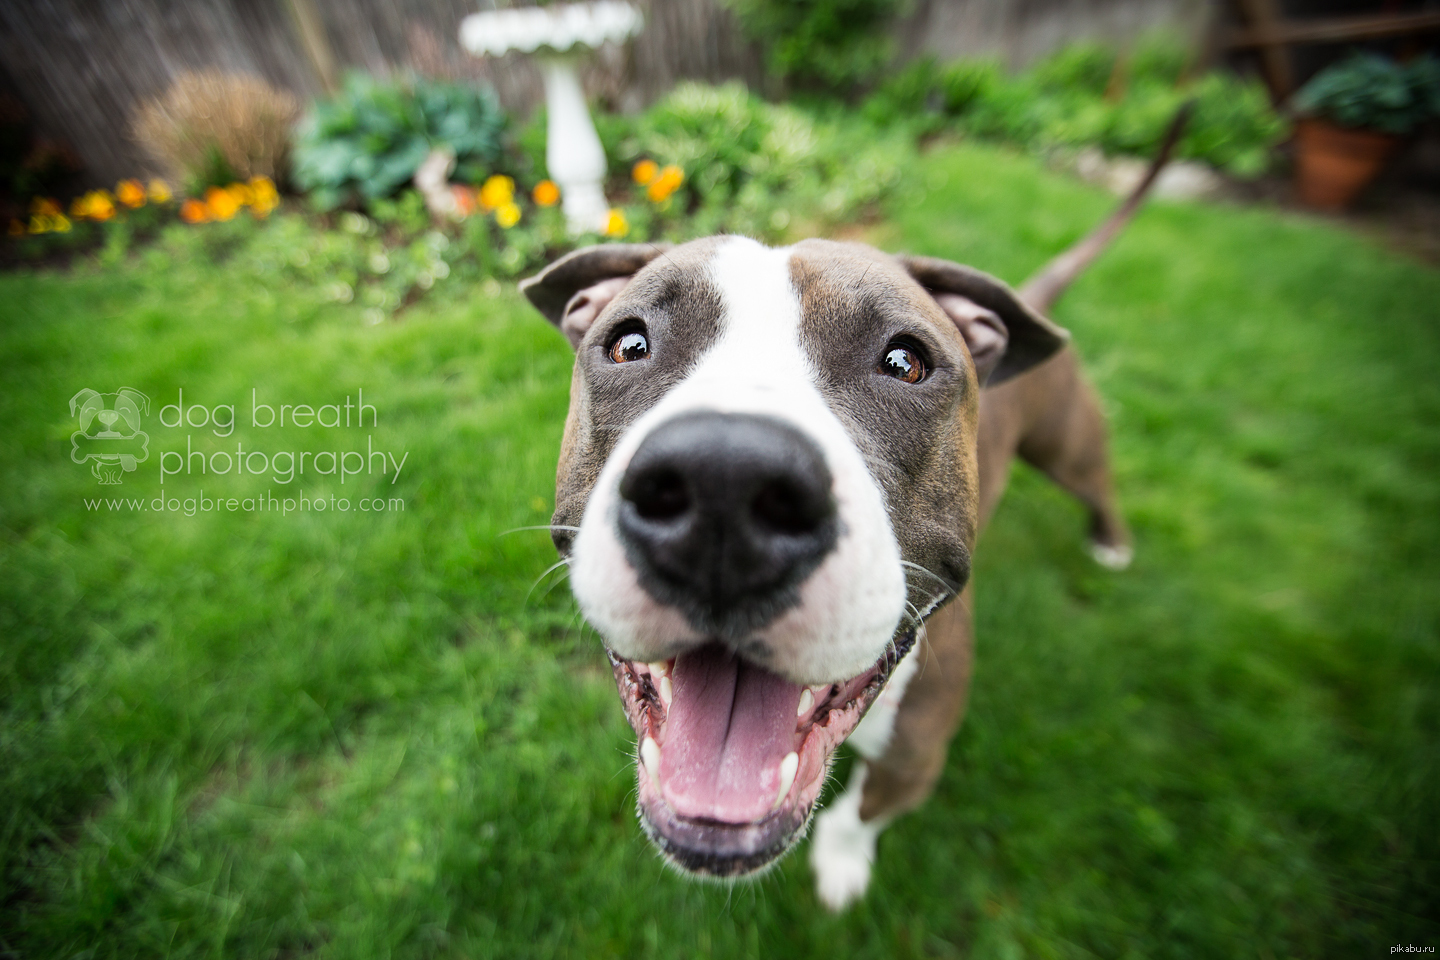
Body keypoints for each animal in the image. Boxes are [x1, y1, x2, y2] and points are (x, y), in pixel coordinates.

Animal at [518, 122, 1180, 909]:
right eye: (629, 343)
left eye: (904, 362)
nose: (725, 481)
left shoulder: (917, 754)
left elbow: (860, 813)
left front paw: (840, 866)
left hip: (1066, 443)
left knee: (1097, 481)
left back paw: (1109, 542)